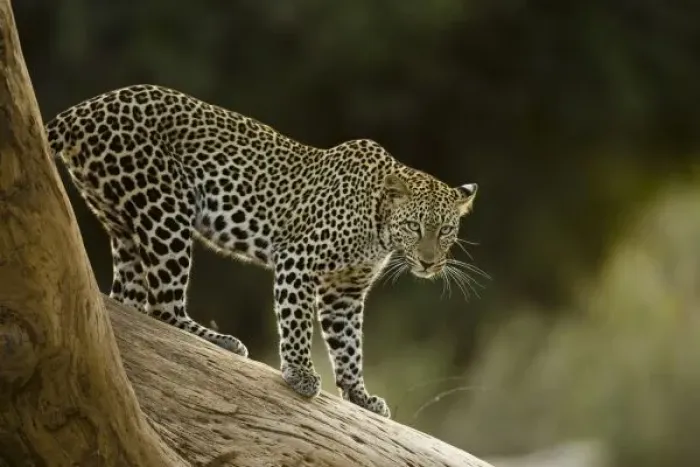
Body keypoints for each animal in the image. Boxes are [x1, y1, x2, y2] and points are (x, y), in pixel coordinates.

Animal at [45, 84, 479, 418]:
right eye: (414, 227)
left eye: (445, 231)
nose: (429, 263)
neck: (379, 227)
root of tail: (88, 105)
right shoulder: (298, 263)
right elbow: (297, 324)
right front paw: (300, 374)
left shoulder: (345, 293)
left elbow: (350, 346)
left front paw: (359, 395)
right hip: (166, 209)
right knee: (163, 307)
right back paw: (222, 340)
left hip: (122, 221)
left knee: (129, 303)